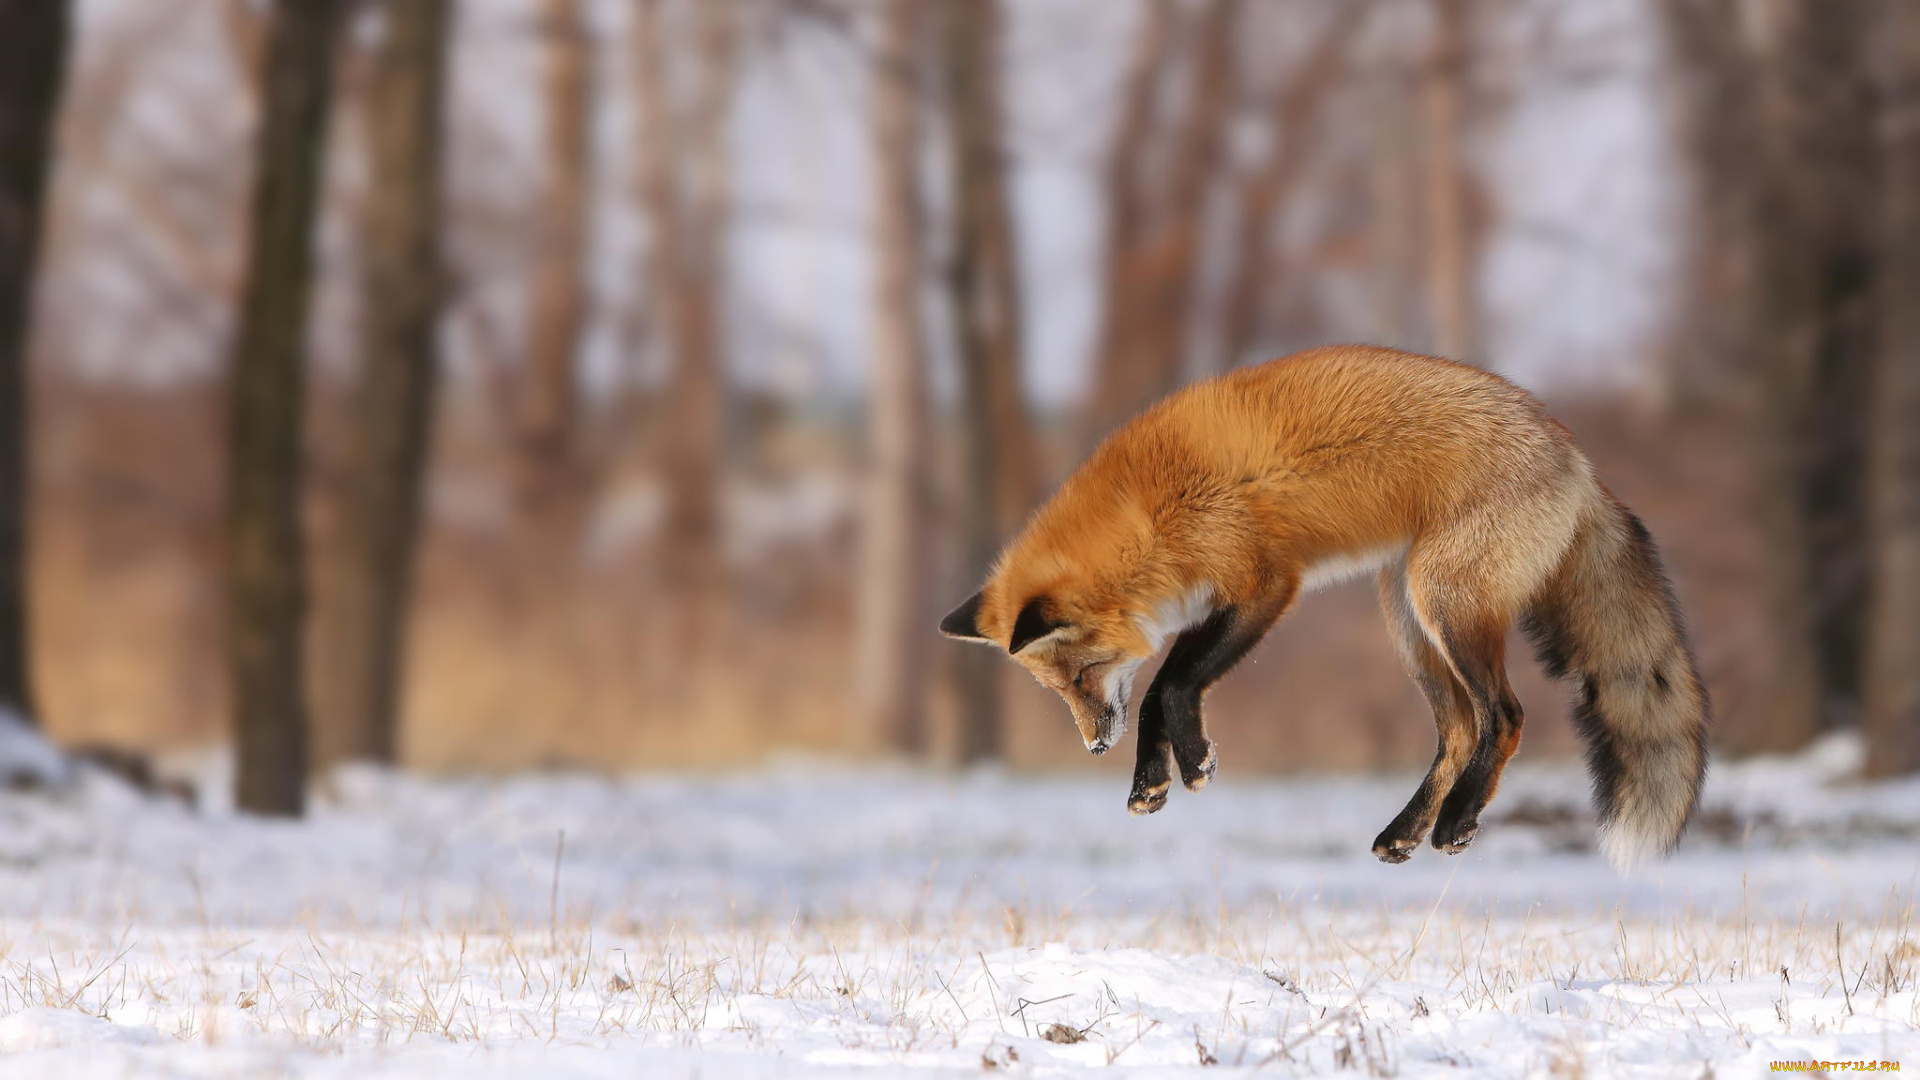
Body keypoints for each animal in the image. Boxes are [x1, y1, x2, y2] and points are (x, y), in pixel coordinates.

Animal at [944, 343, 1712, 864]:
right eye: (1057, 690)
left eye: (1080, 676)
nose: (1093, 746)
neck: (1150, 511)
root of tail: (1575, 454)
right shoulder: (1216, 600)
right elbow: (1162, 688)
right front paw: (1150, 783)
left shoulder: (1263, 585)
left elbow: (1170, 685)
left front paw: (1190, 764)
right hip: (1408, 622)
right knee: (1459, 730)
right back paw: (1405, 832)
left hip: (1446, 604)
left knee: (1505, 715)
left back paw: (1457, 822)